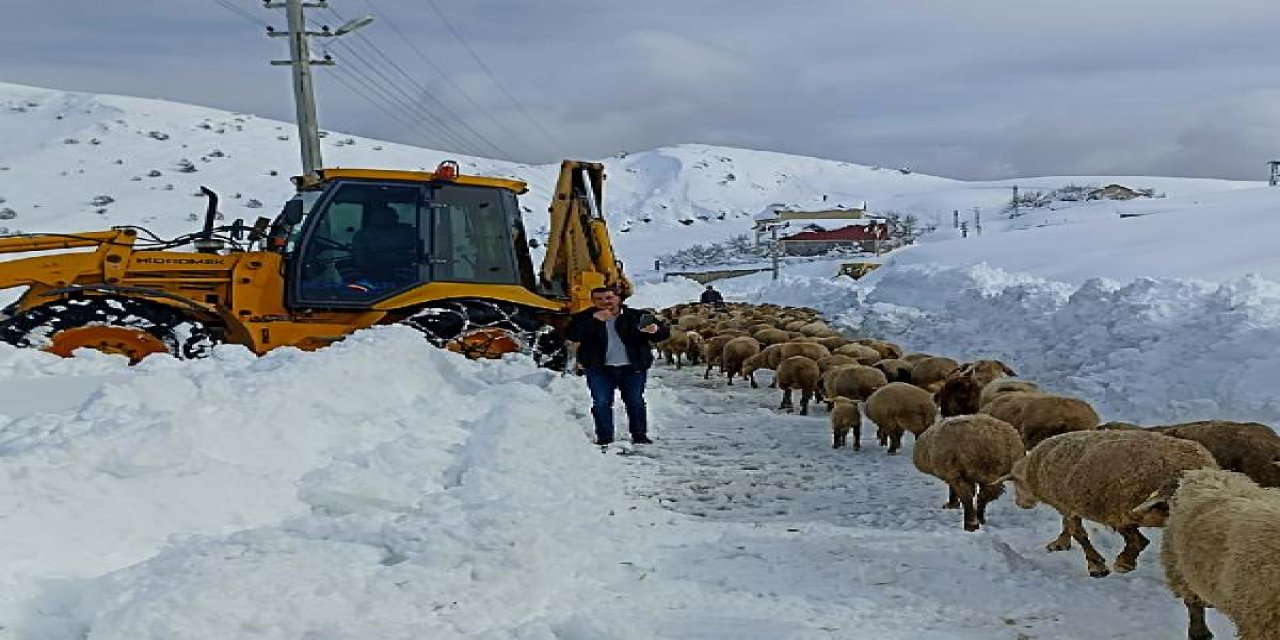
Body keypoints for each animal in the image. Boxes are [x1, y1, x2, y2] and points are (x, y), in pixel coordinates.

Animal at [998, 430, 1218, 581]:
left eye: (1016, 482)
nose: (1021, 504)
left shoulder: (1069, 504)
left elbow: (1080, 535)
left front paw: (1097, 566)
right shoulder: (1069, 504)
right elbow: (1069, 527)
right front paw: (1060, 543)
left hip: (1124, 508)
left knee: (1139, 541)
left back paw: (1124, 563)